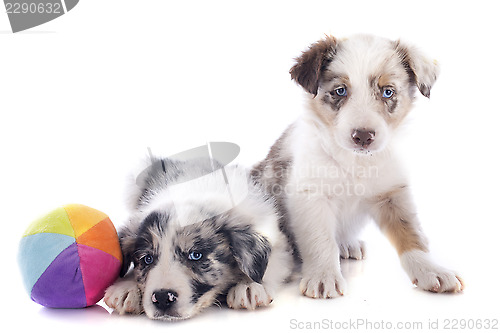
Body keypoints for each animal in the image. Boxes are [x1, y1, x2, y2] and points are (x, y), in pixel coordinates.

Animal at [254, 33, 464, 298]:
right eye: (340, 91)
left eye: (387, 92)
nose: (363, 136)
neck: (356, 162)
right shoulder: (310, 195)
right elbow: (320, 239)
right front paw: (323, 276)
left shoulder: (393, 192)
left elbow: (411, 234)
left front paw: (431, 270)